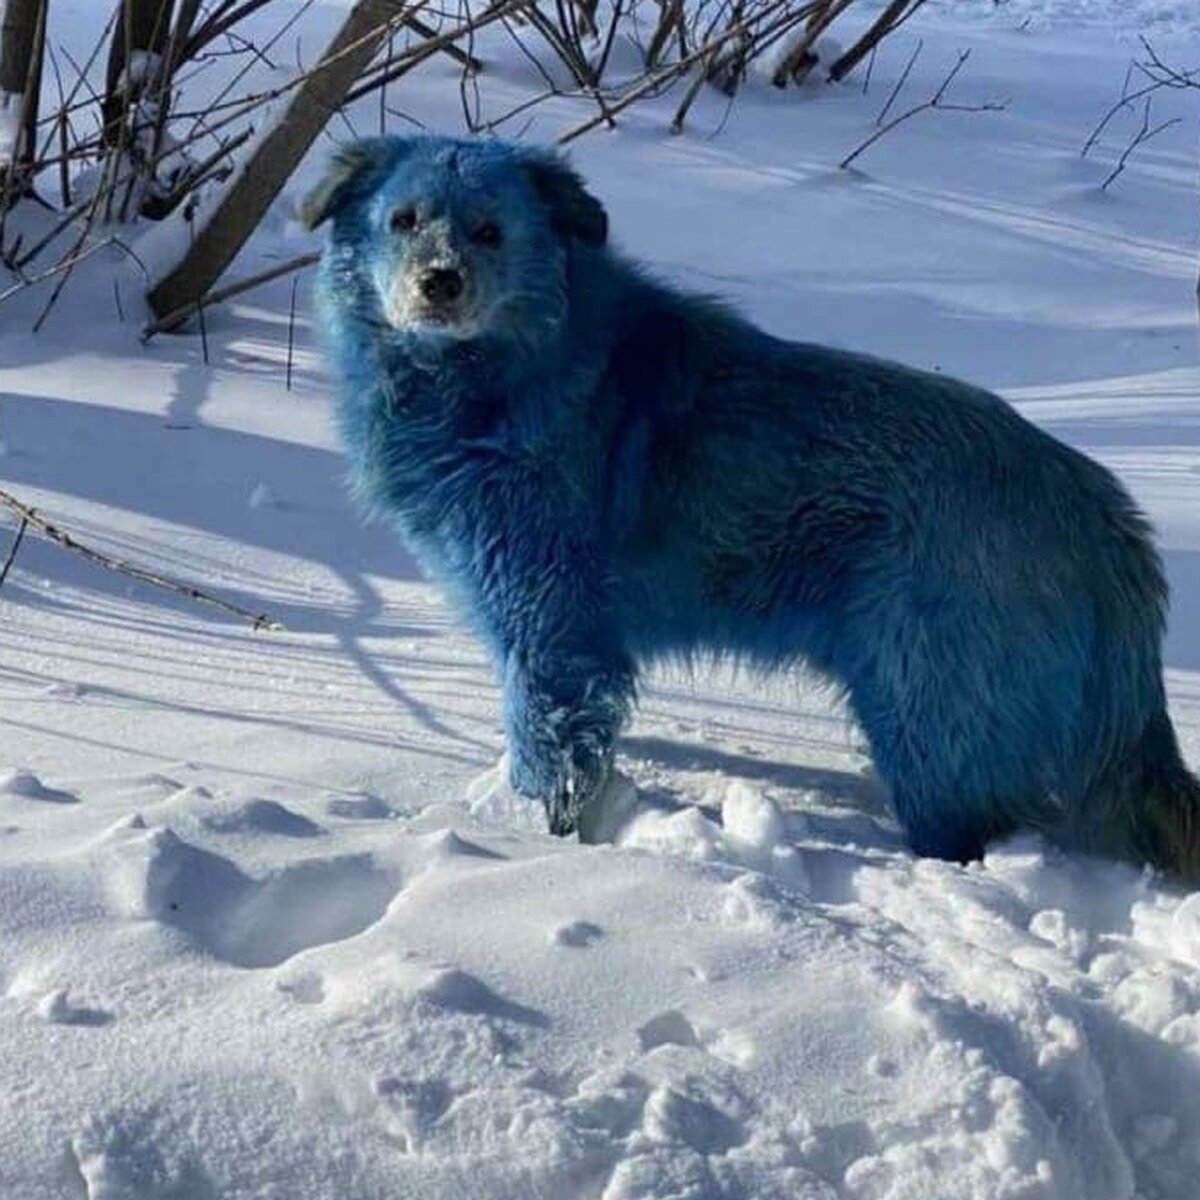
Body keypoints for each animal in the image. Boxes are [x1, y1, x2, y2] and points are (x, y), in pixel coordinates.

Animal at [302, 133, 1200, 883]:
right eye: (404, 220)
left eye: (490, 231)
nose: (439, 283)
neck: (506, 371)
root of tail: (1104, 517)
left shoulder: (552, 629)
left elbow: (550, 749)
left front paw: (529, 846)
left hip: (922, 716)